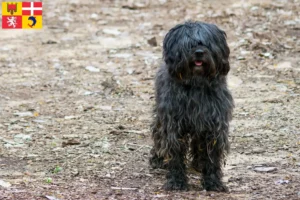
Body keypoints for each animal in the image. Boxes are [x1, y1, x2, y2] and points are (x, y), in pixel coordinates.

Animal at [150, 21, 234, 191]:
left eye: (206, 43)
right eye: (189, 44)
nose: (199, 52)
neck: (196, 84)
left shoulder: (213, 126)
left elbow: (211, 156)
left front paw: (213, 182)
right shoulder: (174, 126)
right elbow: (175, 154)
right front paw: (176, 181)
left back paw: (198, 163)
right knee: (158, 135)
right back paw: (158, 159)